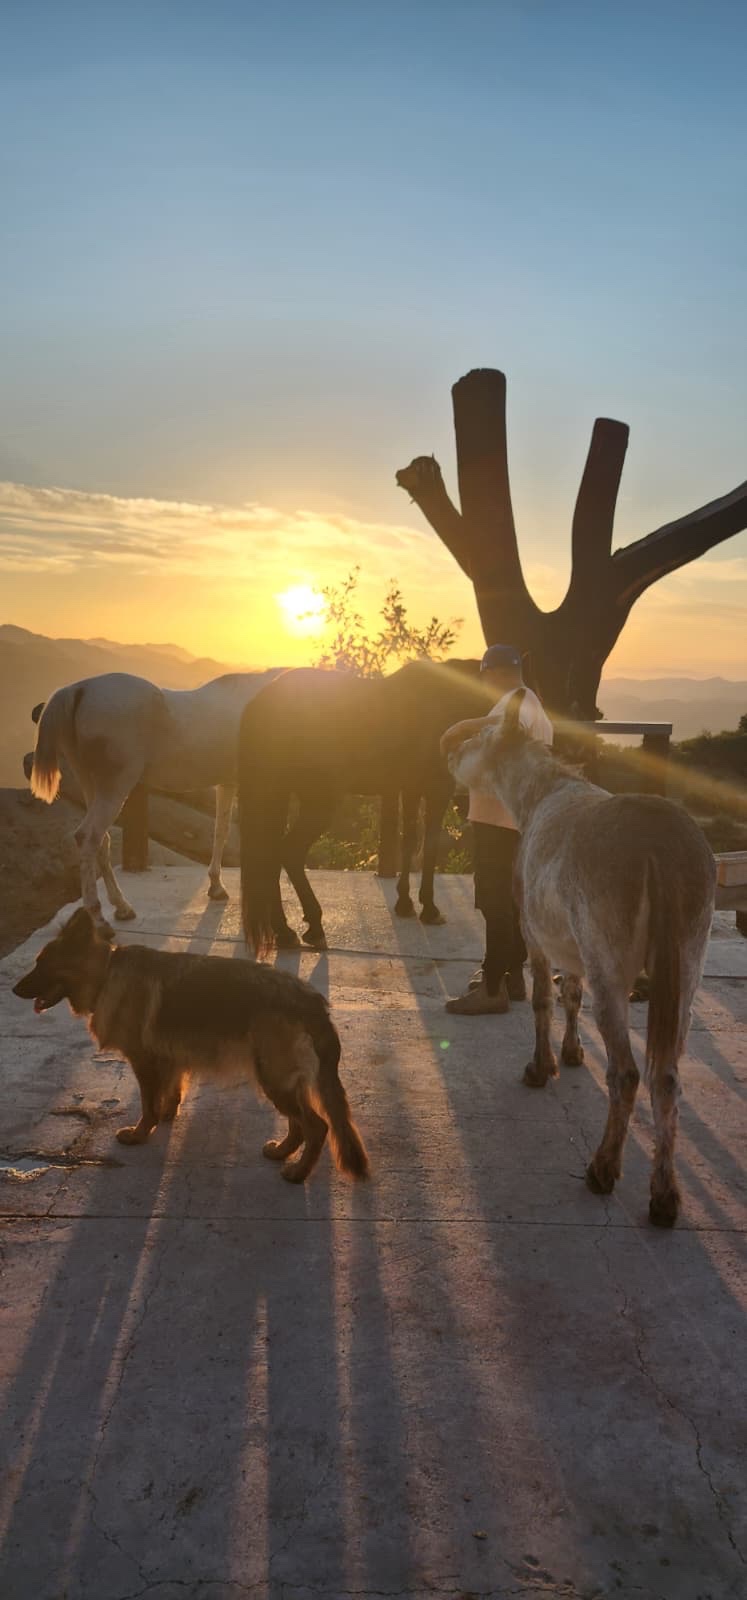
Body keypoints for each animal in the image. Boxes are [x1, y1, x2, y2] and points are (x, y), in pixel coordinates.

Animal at [29, 670, 280, 933]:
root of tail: (80, 689)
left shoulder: (227, 783)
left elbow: (220, 832)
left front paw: (217, 887)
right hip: (115, 786)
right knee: (88, 837)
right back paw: (98, 919)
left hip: (90, 783)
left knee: (101, 840)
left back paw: (122, 907)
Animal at [239, 659, 489, 955]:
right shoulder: (437, 789)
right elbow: (429, 846)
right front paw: (429, 908)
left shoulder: (410, 789)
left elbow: (409, 840)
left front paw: (404, 903)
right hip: (318, 801)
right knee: (289, 852)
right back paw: (314, 926)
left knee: (273, 855)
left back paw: (285, 931)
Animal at [451, 690, 716, 1227]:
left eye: (480, 734)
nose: (448, 754)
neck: (538, 793)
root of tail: (658, 845)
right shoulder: (570, 944)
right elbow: (569, 993)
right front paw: (571, 1054)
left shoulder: (535, 933)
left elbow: (542, 1001)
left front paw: (540, 1067)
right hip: (689, 960)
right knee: (667, 1076)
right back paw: (665, 1195)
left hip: (610, 961)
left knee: (627, 1072)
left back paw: (603, 1169)